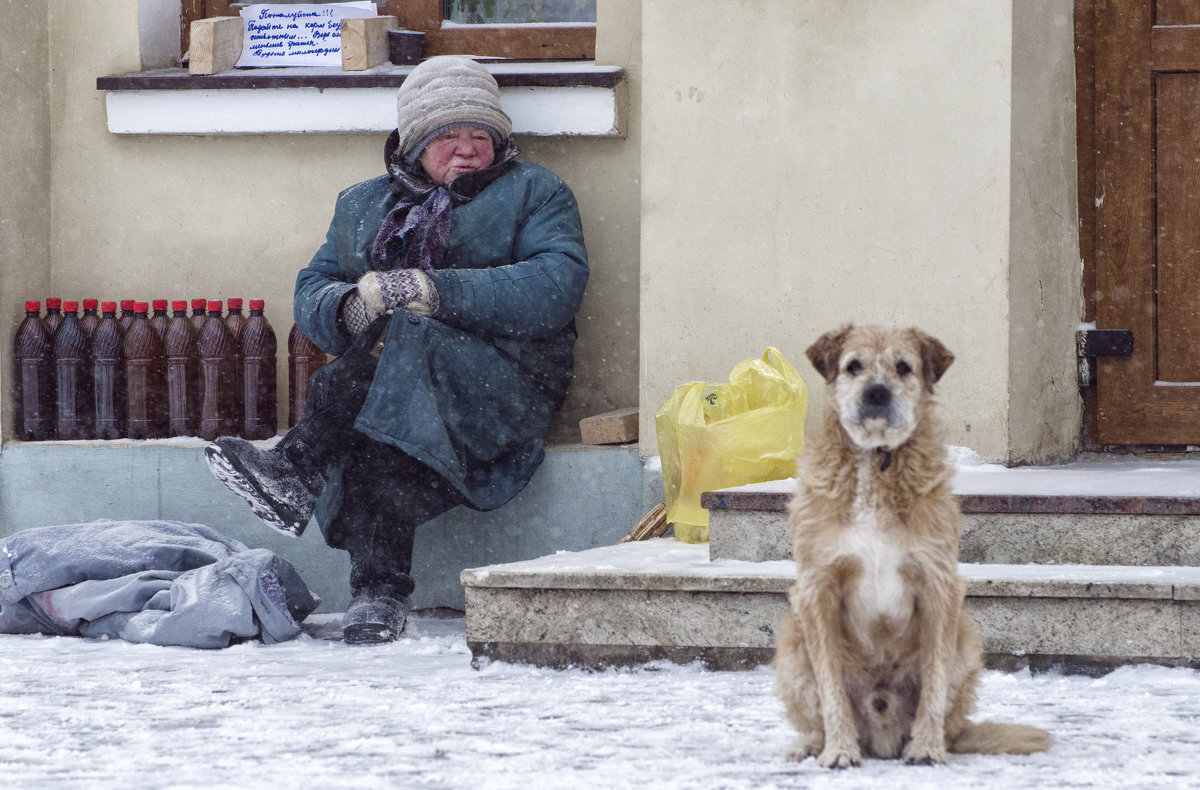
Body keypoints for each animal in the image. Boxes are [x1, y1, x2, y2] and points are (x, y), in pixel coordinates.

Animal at [772, 324, 1046, 768]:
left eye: (903, 367)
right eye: (854, 366)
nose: (877, 392)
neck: (875, 464)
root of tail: (882, 736)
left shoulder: (936, 582)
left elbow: (933, 681)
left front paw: (927, 748)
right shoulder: (818, 586)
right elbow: (831, 689)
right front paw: (839, 751)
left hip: (966, 639)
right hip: (792, 645)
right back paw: (813, 745)